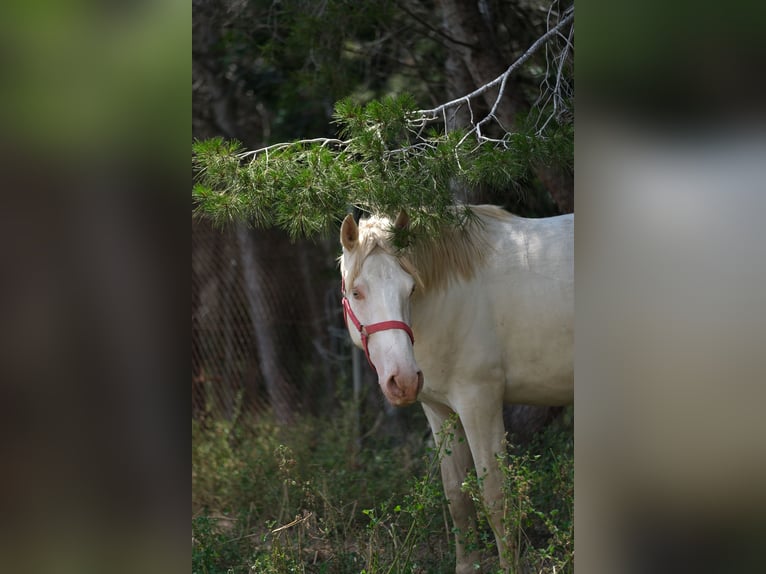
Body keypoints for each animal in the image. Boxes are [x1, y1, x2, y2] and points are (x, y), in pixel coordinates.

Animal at [340, 205, 572, 572]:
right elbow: (457, 496)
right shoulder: (439, 410)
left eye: (410, 289)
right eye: (357, 292)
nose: (402, 379)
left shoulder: (479, 402)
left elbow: (495, 497)